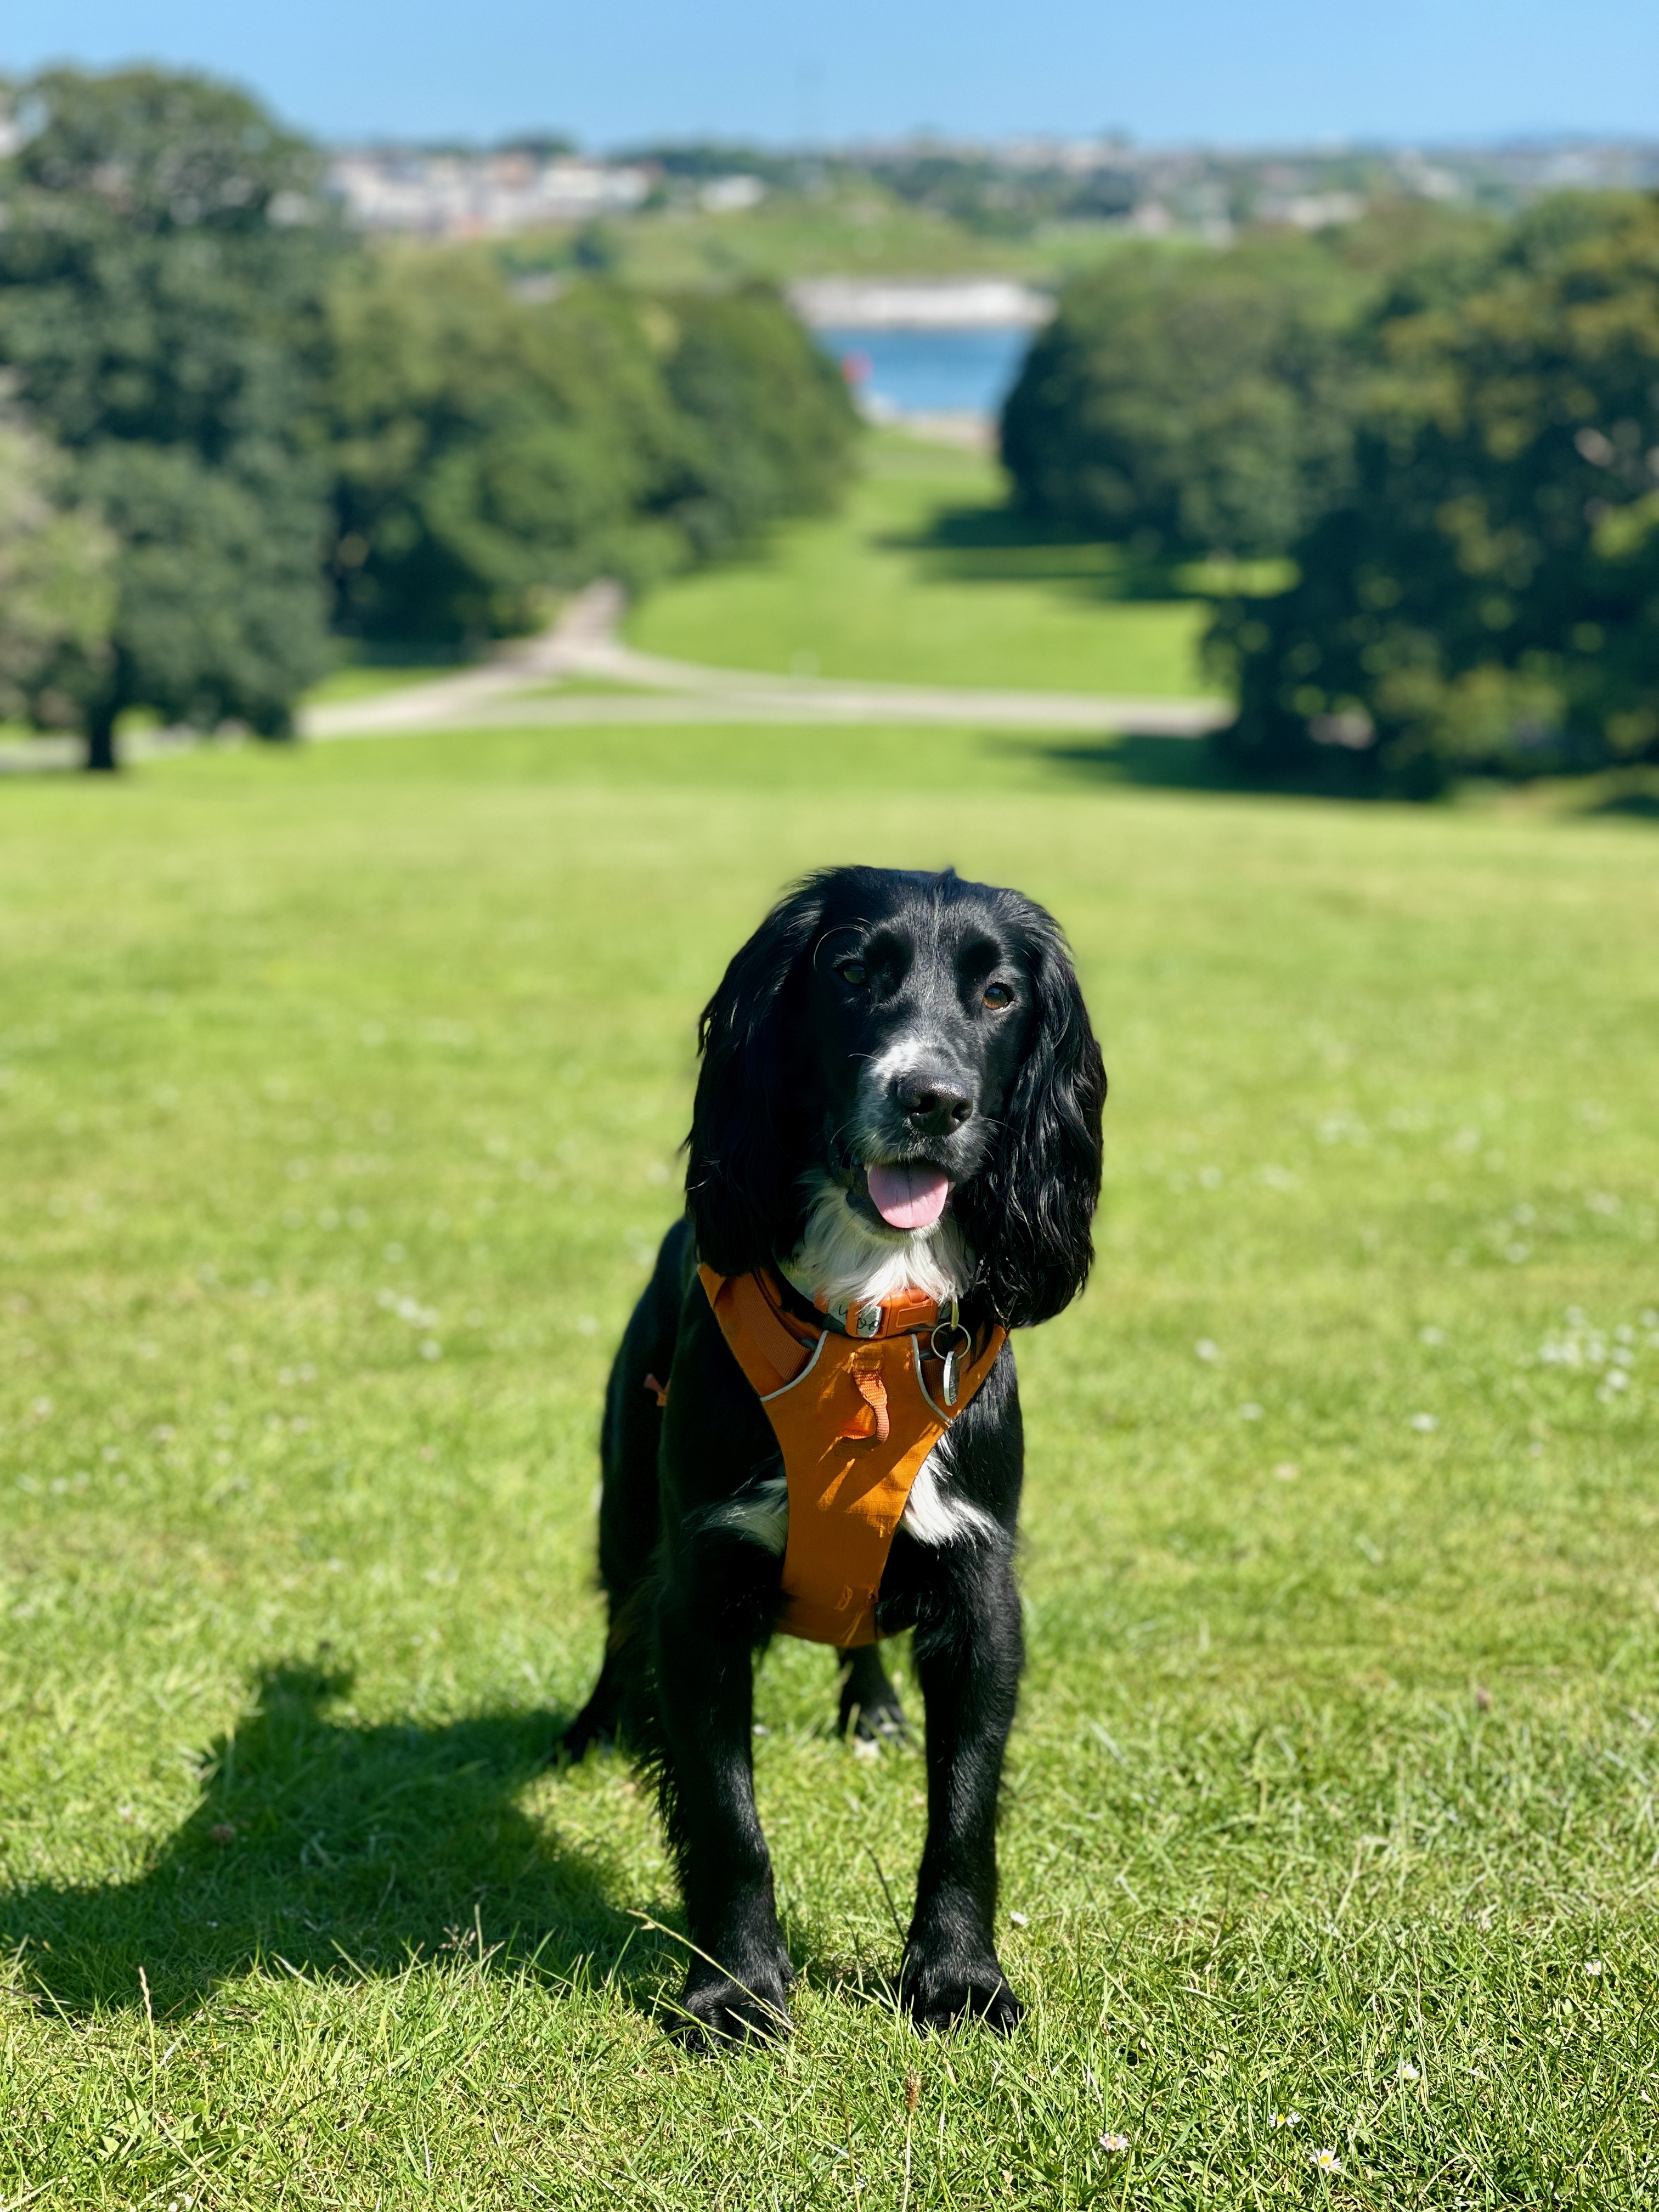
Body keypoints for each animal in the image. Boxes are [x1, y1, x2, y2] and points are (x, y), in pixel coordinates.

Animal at [571, 862, 1106, 2035]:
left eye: (998, 993)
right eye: (853, 970)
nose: (932, 1100)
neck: (866, 1311)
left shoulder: (978, 1586)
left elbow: (963, 1811)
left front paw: (957, 1978)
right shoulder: (700, 1581)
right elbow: (726, 1815)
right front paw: (735, 1988)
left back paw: (873, 1707)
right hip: (624, 1496)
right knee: (618, 1612)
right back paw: (590, 1727)